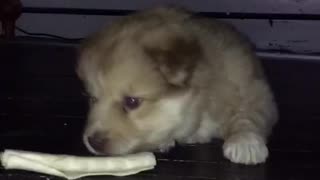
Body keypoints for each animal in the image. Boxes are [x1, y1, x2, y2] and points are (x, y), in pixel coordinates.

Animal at [77, 6, 278, 165]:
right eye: (92, 98)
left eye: (132, 101)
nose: (93, 142)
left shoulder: (254, 90)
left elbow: (247, 115)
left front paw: (245, 141)